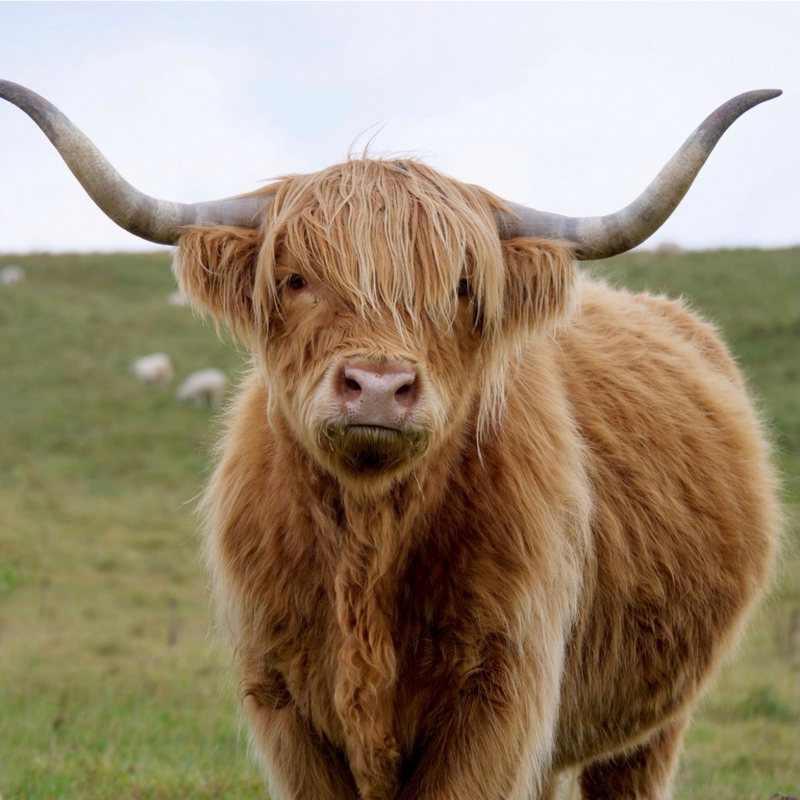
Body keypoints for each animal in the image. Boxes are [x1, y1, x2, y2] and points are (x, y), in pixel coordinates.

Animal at [0, 80, 782, 799]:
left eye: (462, 287)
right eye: (295, 279)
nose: (378, 386)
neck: (366, 546)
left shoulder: (500, 700)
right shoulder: (282, 703)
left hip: (650, 729)